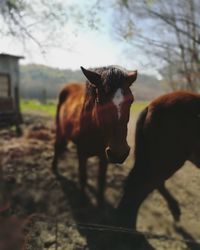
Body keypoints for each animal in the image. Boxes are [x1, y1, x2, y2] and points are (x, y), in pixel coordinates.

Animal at [52, 65, 138, 204]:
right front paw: (82, 199)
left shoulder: (104, 157)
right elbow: (83, 177)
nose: (119, 153)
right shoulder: (81, 153)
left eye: (131, 100)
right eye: (100, 100)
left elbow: (101, 181)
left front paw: (100, 203)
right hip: (60, 128)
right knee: (57, 145)